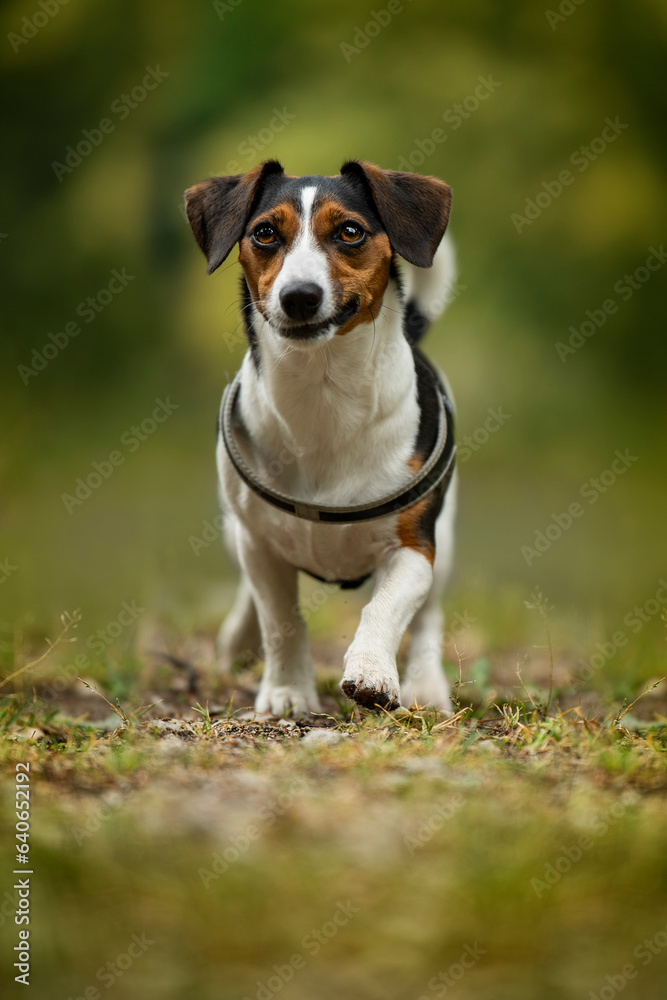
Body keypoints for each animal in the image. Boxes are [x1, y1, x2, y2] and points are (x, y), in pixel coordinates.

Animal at [185, 160, 462, 716]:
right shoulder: (260, 544)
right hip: (236, 530)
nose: (299, 296)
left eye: (350, 231)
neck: (324, 397)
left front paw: (372, 672)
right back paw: (238, 640)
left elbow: (385, 607)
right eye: (265, 233)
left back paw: (425, 685)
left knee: (427, 619)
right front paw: (288, 691)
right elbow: (279, 620)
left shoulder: (414, 548)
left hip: (445, 540)